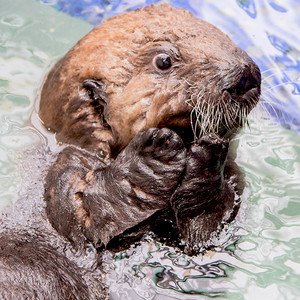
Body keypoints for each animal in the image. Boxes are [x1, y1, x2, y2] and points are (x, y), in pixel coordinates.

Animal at [0, 3, 260, 298]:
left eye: (227, 40)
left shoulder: (235, 190)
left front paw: (209, 156)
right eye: (164, 61)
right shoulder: (64, 166)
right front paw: (152, 155)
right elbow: (83, 213)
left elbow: (202, 239)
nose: (245, 75)